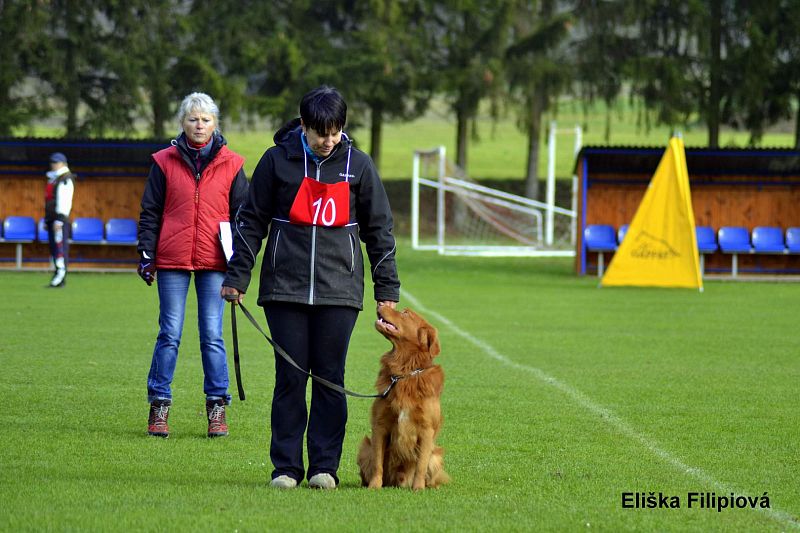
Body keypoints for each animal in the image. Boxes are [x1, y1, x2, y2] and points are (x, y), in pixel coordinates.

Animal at [358, 306, 450, 488]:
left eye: (406, 313)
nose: (380, 305)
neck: (404, 372)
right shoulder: (380, 425)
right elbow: (377, 462)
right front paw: (374, 486)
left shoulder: (426, 429)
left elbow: (421, 464)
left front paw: (418, 488)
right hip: (365, 447)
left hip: (436, 456)